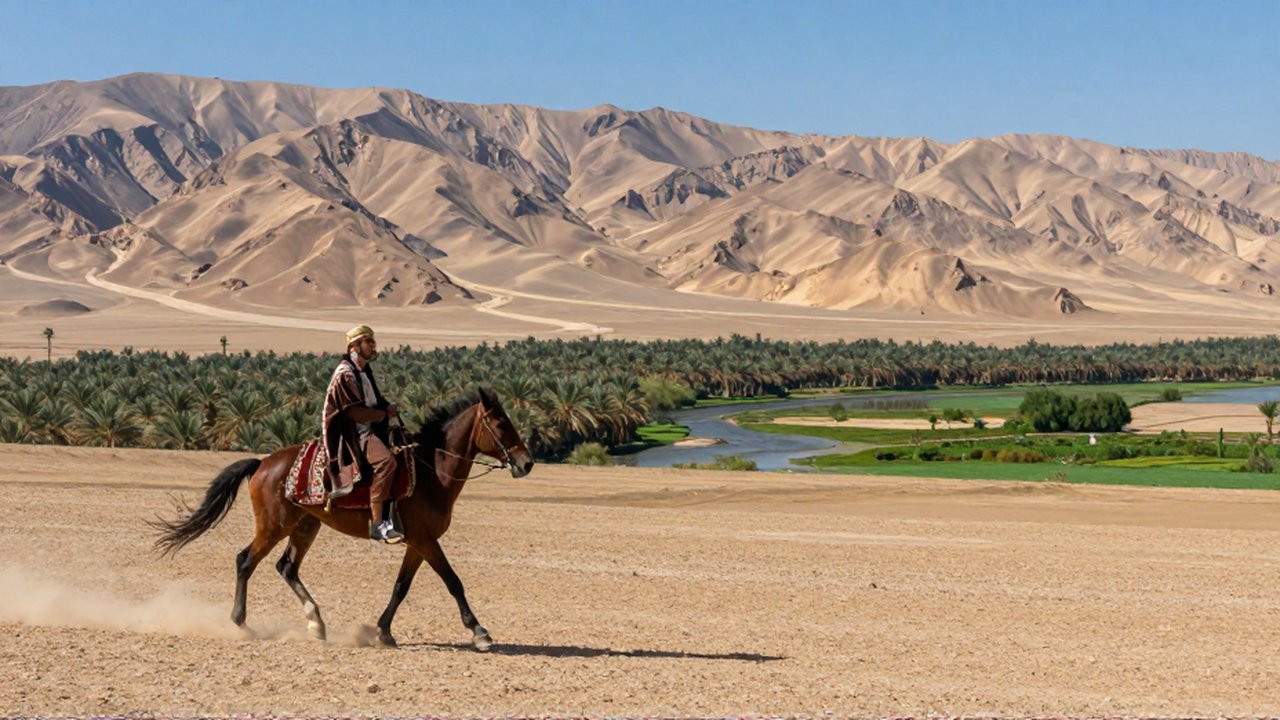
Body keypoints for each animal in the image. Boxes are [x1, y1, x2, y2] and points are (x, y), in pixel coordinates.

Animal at [151, 387, 535, 651]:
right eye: (501, 423)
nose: (527, 462)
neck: (431, 471)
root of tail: (262, 463)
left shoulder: (416, 542)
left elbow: (401, 587)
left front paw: (383, 631)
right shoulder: (425, 540)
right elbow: (454, 582)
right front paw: (480, 632)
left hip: (305, 526)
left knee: (286, 567)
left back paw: (316, 623)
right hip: (274, 525)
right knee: (245, 561)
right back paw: (241, 623)